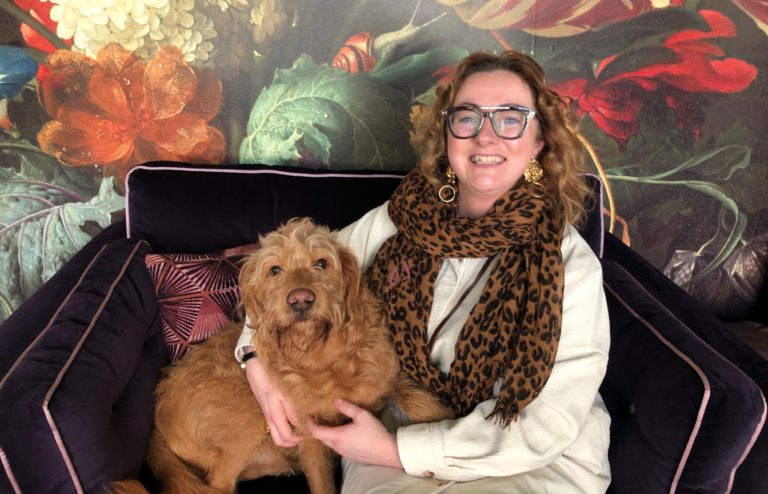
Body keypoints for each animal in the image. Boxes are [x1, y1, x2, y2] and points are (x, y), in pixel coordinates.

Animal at [112, 219, 450, 494]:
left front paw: (443, 422)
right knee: (217, 484)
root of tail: (157, 413)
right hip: (247, 417)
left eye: (321, 263)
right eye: (275, 270)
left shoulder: (384, 376)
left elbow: (414, 397)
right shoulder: (310, 437)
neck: (322, 352)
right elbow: (321, 483)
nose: (300, 300)